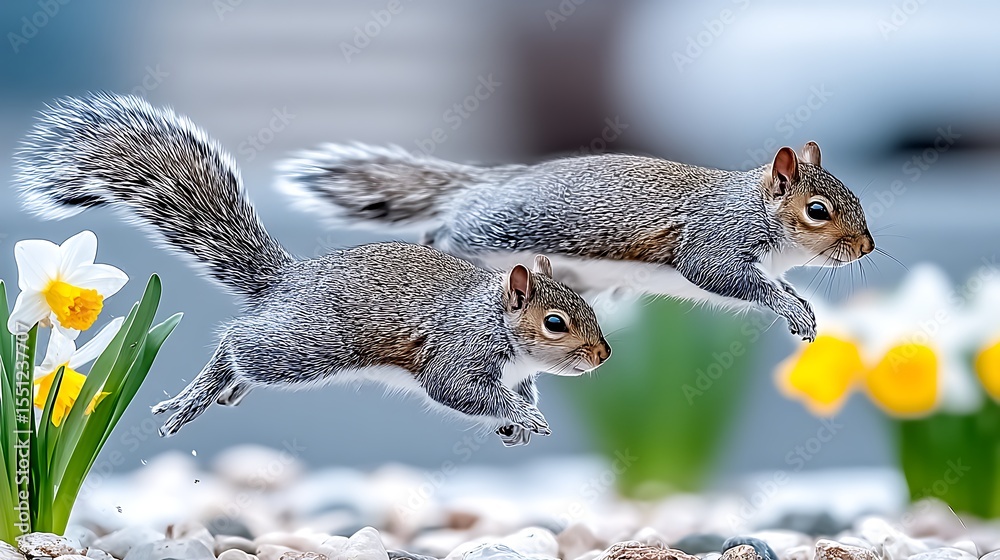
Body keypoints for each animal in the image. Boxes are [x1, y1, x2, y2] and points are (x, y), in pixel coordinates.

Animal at [13, 93, 611, 445]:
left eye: (588, 306)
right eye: (555, 322)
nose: (603, 356)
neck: (495, 320)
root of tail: (285, 279)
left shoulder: (518, 373)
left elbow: (516, 396)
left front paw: (517, 423)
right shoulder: (460, 352)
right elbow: (458, 390)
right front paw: (523, 418)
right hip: (308, 344)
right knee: (238, 341)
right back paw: (200, 393)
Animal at [276, 142, 876, 341]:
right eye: (817, 211)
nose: (866, 248)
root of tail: (488, 184)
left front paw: (803, 309)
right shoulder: (713, 241)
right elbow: (724, 276)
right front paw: (789, 309)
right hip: (488, 229)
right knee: (443, 232)